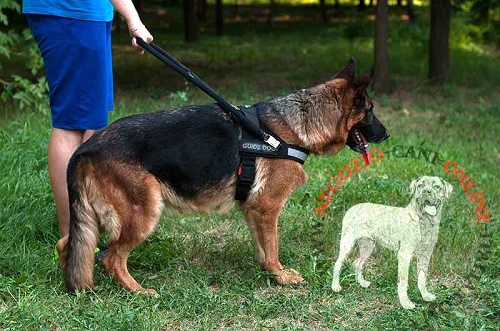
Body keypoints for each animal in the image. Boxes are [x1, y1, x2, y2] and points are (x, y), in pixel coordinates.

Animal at [55, 59, 390, 294]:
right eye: (371, 111)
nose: (386, 135)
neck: (298, 125)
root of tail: (86, 148)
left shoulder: (254, 209)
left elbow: (262, 247)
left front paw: (269, 272)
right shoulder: (267, 207)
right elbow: (273, 246)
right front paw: (281, 276)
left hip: (94, 218)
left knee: (68, 244)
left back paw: (73, 285)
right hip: (143, 213)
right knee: (111, 258)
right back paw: (138, 291)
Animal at [332, 178, 454, 310]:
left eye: (436, 186)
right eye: (420, 185)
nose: (426, 192)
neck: (424, 222)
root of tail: (351, 209)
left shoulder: (425, 256)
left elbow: (422, 278)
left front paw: (425, 296)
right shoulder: (404, 255)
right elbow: (403, 281)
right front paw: (405, 303)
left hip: (367, 245)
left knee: (357, 263)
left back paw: (362, 283)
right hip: (347, 243)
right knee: (338, 263)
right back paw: (335, 287)